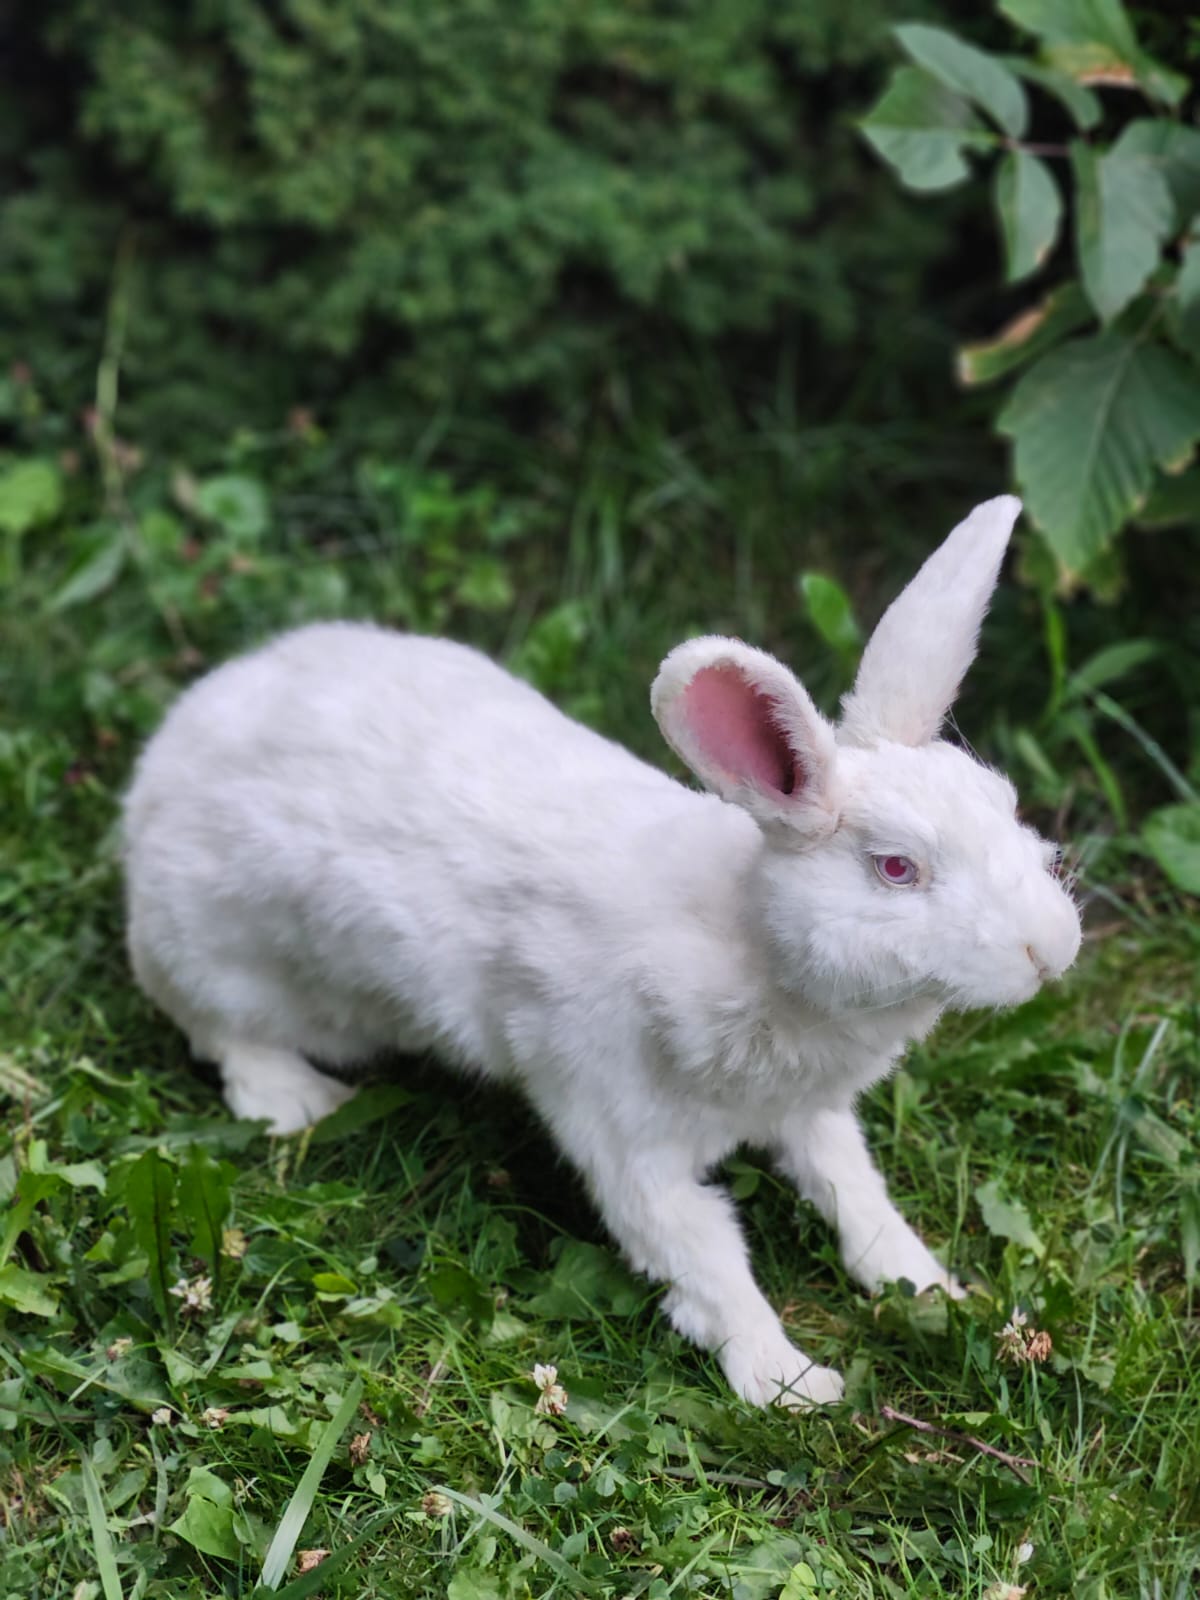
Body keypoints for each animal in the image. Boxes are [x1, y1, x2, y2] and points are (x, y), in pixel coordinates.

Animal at [123, 495, 1081, 1408]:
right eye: (896, 868)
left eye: (1005, 805)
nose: (1052, 948)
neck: (751, 946)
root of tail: (166, 755)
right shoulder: (624, 1138)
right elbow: (707, 1258)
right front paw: (791, 1384)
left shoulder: (810, 1115)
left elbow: (856, 1192)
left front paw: (930, 1288)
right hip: (223, 964)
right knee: (222, 1037)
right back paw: (300, 1100)